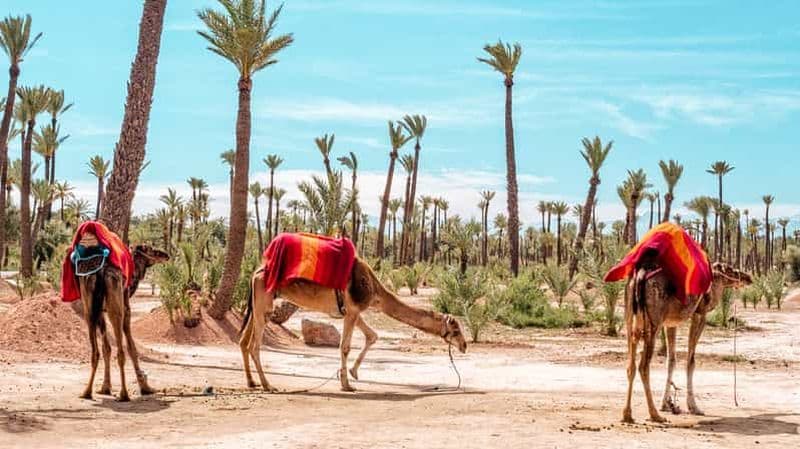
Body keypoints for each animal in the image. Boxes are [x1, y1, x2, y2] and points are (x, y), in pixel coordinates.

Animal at [77, 243, 169, 401]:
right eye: (150, 249)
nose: (166, 255)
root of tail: (101, 272)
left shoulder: (100, 311)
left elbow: (106, 348)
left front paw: (105, 388)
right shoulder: (127, 309)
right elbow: (132, 348)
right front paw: (145, 387)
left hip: (88, 308)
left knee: (95, 352)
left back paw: (86, 392)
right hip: (116, 306)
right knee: (121, 352)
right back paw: (124, 394)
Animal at [239, 258, 468, 392]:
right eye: (456, 329)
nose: (465, 346)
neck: (375, 290)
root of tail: (255, 272)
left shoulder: (353, 311)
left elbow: (372, 336)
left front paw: (353, 373)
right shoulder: (352, 310)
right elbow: (345, 346)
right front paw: (346, 384)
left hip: (258, 304)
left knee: (243, 341)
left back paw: (251, 383)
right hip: (264, 304)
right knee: (254, 345)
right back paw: (267, 385)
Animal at [622, 261, 752, 423]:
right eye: (731, 270)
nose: (748, 278)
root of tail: (639, 277)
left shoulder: (670, 322)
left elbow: (671, 360)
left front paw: (665, 404)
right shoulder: (700, 314)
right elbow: (691, 361)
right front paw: (694, 407)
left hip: (630, 319)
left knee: (631, 365)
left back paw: (627, 415)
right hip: (654, 323)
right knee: (643, 366)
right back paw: (655, 415)